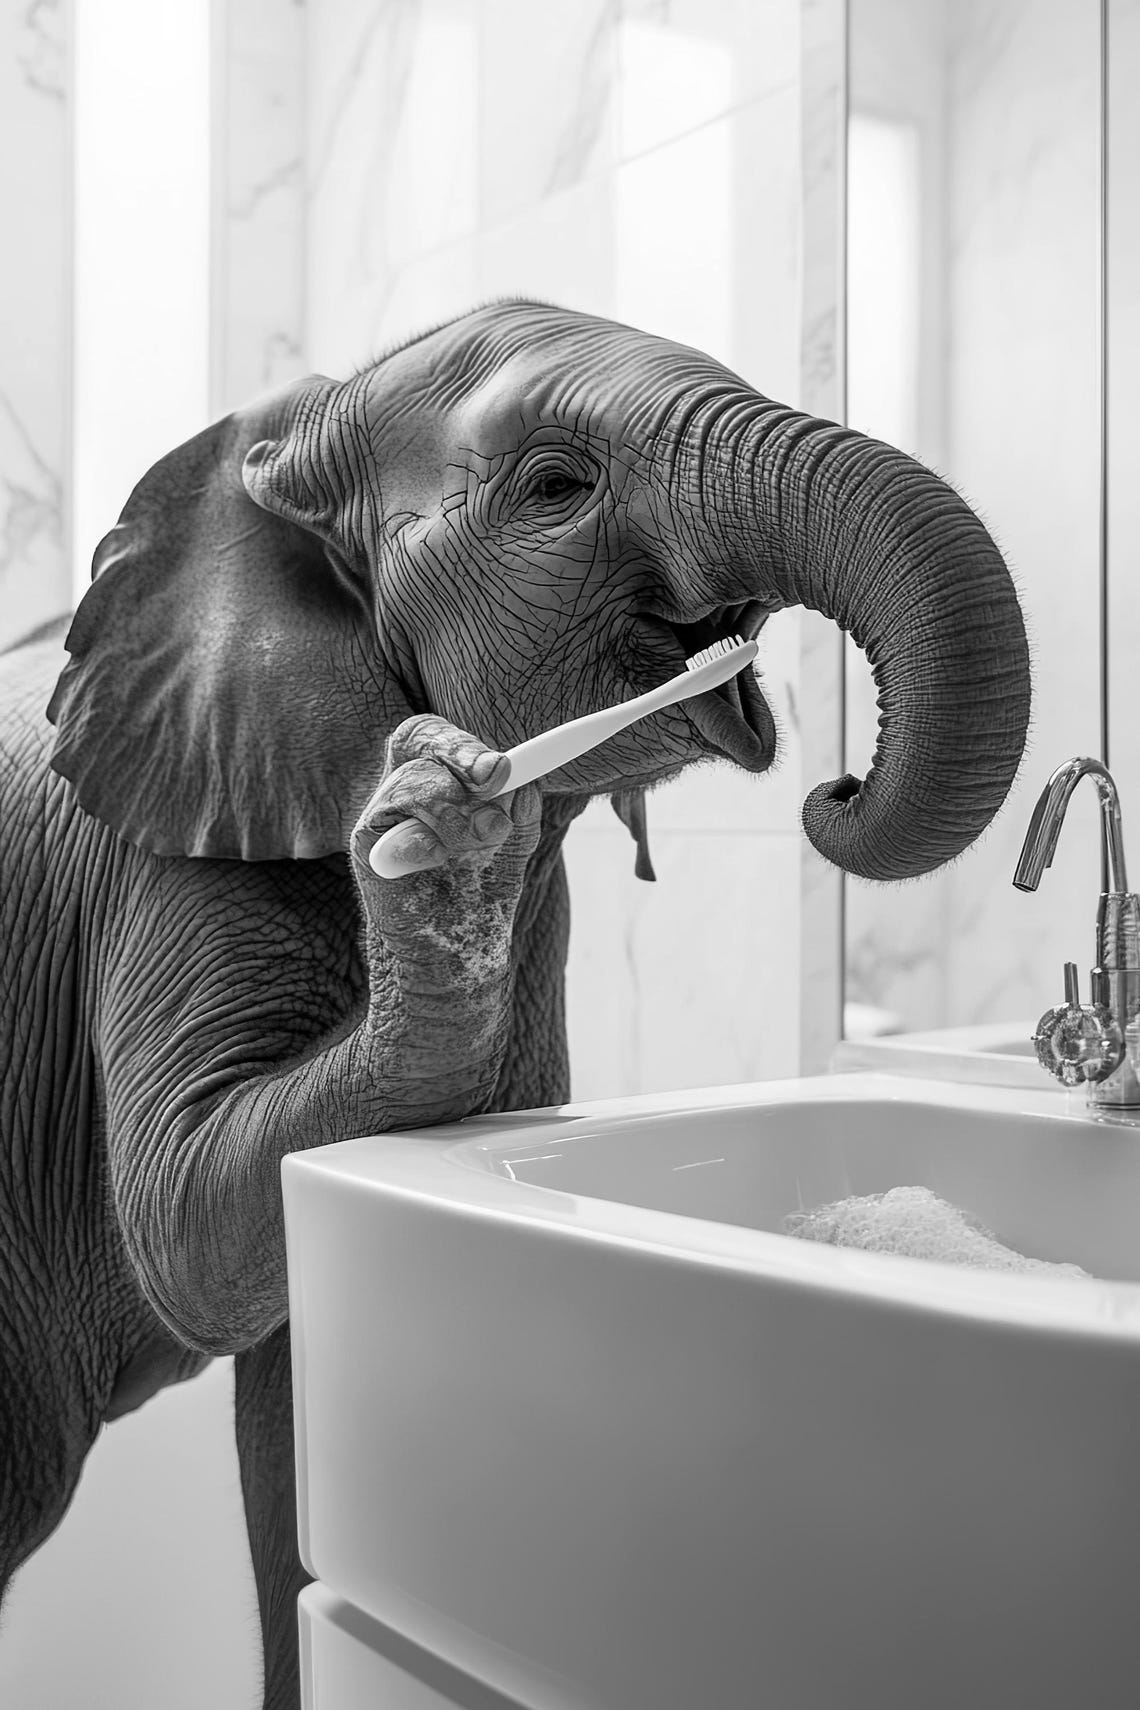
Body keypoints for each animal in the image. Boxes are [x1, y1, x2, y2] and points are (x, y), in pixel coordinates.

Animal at [0, 300, 1030, 1706]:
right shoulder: (162, 844)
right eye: (556, 486)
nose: (836, 788)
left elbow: (287, 1416)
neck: (275, 450)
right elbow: (185, 1225)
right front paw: (436, 815)